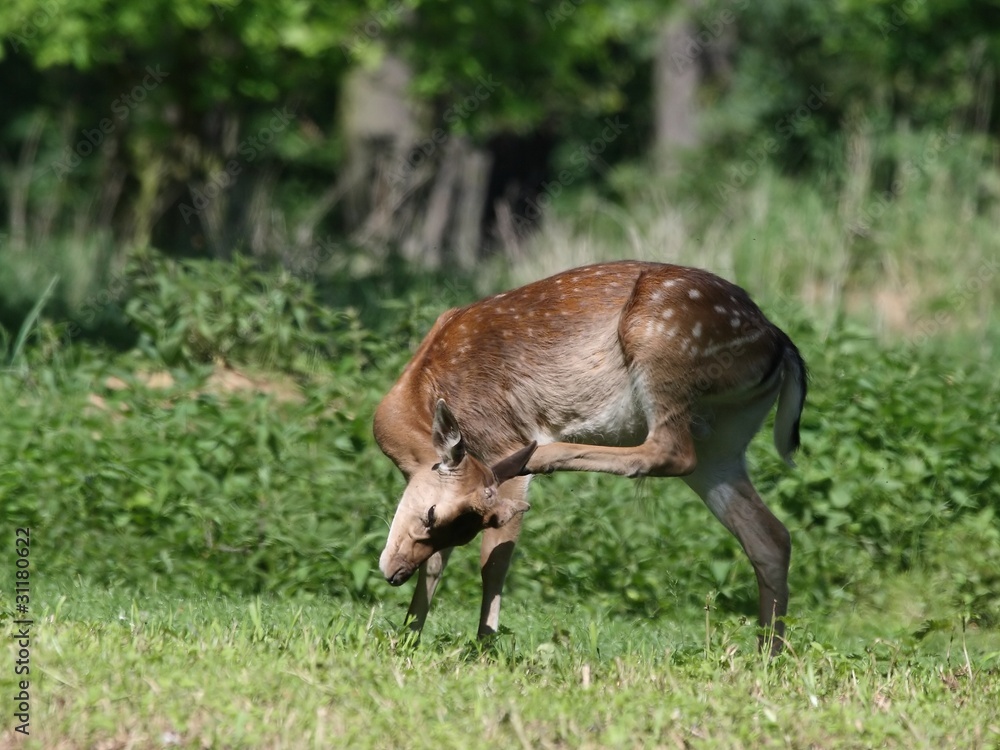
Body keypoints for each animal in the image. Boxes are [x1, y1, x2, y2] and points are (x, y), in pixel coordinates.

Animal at [374, 261, 806, 654]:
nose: (394, 573)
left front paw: (484, 646)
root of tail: (780, 344)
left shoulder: (501, 439)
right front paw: (408, 639)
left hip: (663, 347)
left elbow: (493, 561)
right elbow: (437, 563)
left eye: (432, 514)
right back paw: (768, 655)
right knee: (770, 536)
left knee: (670, 451)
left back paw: (546, 454)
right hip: (724, 440)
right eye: (446, 524)